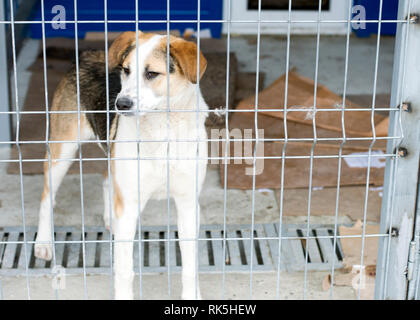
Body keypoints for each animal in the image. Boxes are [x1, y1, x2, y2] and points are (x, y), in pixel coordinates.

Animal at [33, 31, 208, 298]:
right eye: (126, 70)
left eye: (151, 74)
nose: (120, 104)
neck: (162, 128)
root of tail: (87, 53)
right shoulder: (130, 203)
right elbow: (124, 269)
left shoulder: (188, 205)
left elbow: (190, 267)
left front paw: (191, 295)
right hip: (62, 151)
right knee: (46, 197)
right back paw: (43, 243)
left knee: (106, 180)